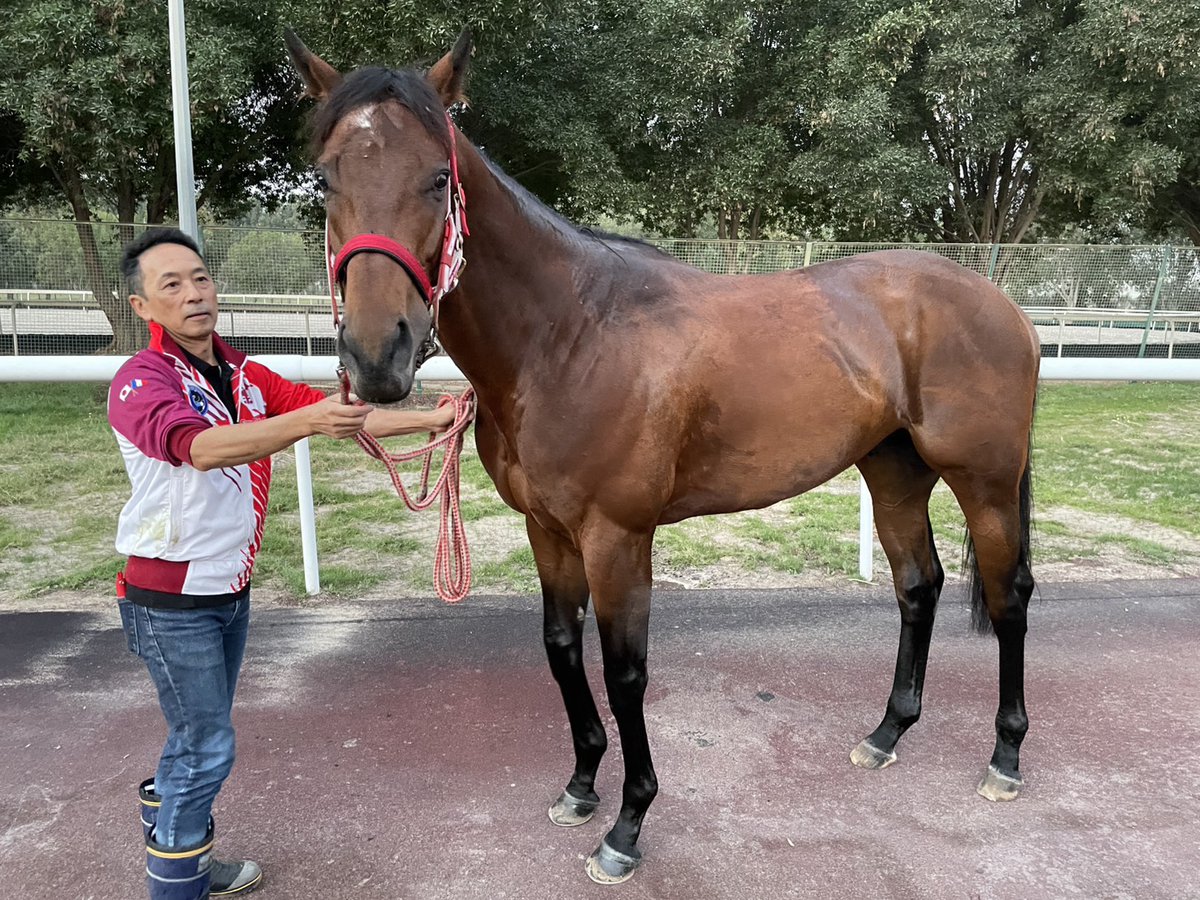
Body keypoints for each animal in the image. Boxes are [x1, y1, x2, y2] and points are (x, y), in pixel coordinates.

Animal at [285, 29, 1040, 885]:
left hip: (984, 482)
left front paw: (626, 826)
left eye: (437, 178)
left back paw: (1005, 758)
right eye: (327, 178)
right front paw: (581, 786)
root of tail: (1004, 306)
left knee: (1008, 598)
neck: (569, 335)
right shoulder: (548, 531)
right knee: (919, 587)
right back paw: (885, 735)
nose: (377, 356)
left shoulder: (618, 537)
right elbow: (561, 650)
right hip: (894, 473)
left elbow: (625, 672)